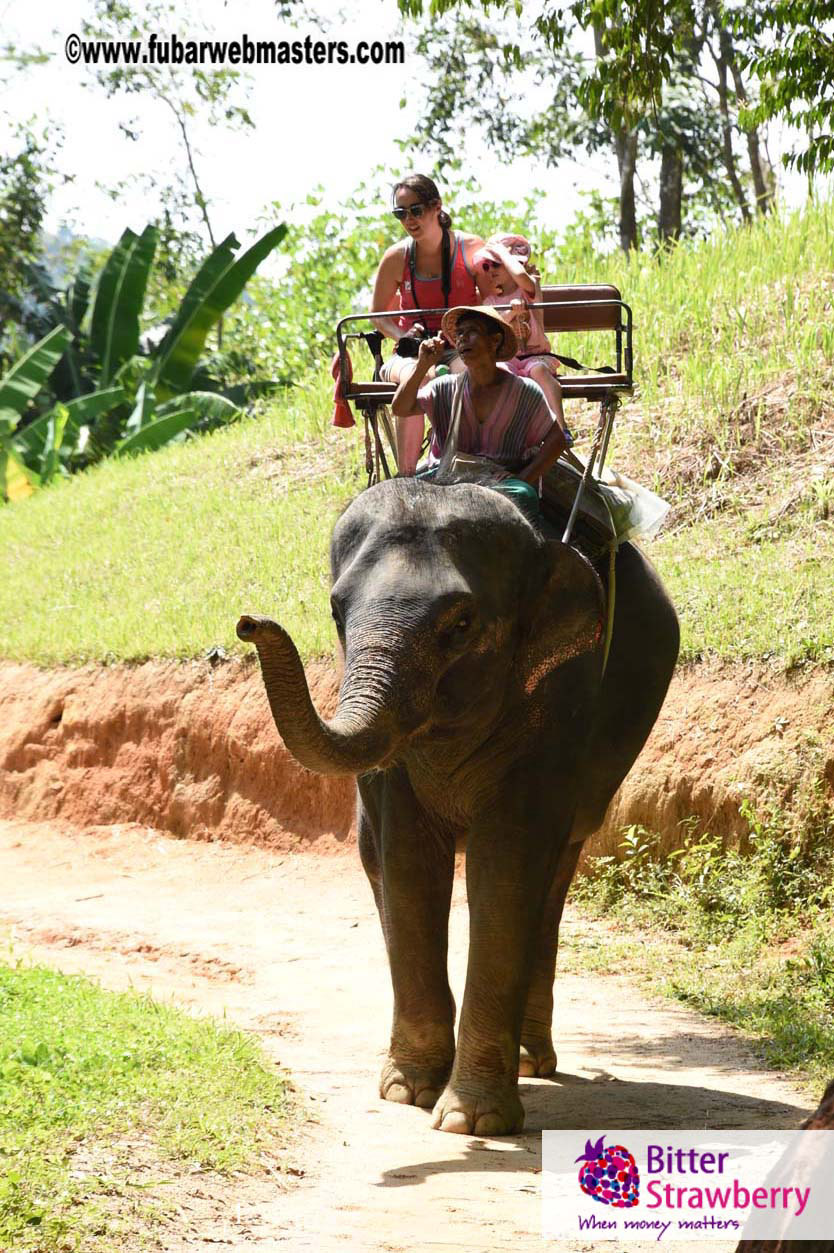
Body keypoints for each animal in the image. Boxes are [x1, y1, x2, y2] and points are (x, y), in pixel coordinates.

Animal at [237, 474, 679, 1136]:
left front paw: (471, 1121)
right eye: (337, 609)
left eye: (463, 622)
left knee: (553, 881)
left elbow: (505, 868)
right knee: (377, 862)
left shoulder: (558, 707)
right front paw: (409, 1091)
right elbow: (410, 861)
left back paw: (529, 1062)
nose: (247, 623)